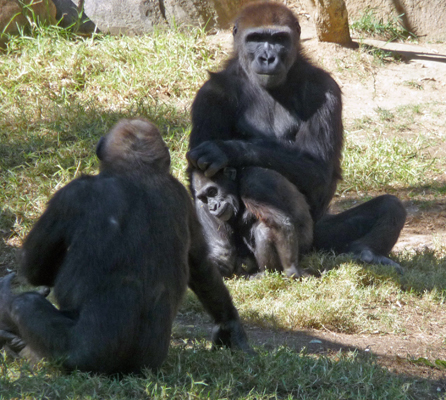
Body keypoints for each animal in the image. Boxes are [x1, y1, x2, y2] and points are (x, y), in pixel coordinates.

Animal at [0, 117, 251, 374]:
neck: (136, 170)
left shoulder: (71, 194)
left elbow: (35, 267)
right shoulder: (182, 194)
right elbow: (200, 264)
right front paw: (229, 326)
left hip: (79, 359)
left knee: (25, 304)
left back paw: (15, 340)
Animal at [186, 1, 406, 276]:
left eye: (279, 39)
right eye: (255, 38)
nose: (267, 58)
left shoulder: (325, 88)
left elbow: (318, 168)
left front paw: (226, 150)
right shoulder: (210, 94)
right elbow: (198, 174)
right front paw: (218, 254)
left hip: (317, 240)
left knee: (390, 206)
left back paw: (368, 252)